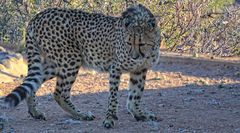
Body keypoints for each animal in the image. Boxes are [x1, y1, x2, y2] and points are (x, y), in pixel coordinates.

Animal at [2, 3, 160, 128]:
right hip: (71, 60)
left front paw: (139, 114)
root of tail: (38, 16)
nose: (134, 56)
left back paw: (35, 112)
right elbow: (113, 96)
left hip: (55, 64)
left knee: (31, 82)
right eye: (128, 42)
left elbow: (136, 94)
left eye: (141, 43)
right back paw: (81, 114)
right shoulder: (116, 67)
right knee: (59, 93)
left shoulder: (140, 70)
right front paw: (109, 119)